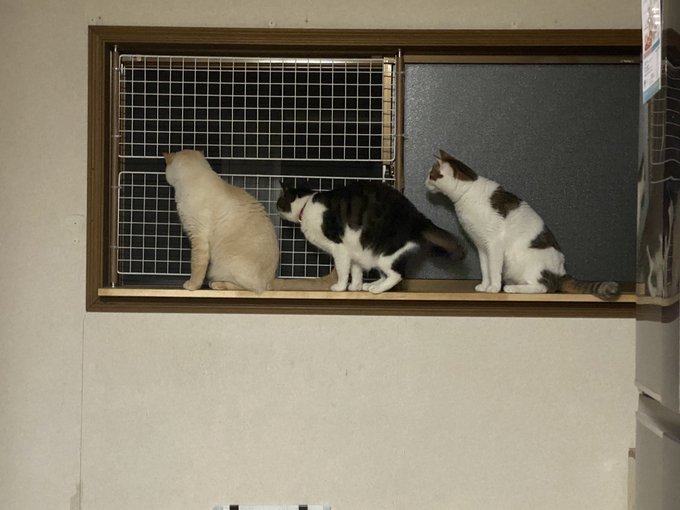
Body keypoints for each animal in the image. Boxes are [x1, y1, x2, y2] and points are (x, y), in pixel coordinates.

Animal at [164, 150, 279, 293]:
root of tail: (270, 282)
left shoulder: (198, 237)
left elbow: (196, 266)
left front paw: (191, 286)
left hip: (228, 267)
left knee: (247, 288)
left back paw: (216, 284)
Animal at [276, 179, 465, 293]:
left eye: (279, 201)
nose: (276, 207)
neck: (306, 206)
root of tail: (418, 217)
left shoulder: (340, 249)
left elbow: (343, 271)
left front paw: (340, 287)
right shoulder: (354, 251)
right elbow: (356, 271)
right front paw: (355, 287)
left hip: (387, 254)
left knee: (397, 275)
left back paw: (377, 289)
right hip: (373, 254)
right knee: (385, 275)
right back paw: (371, 285)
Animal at [425, 149, 620, 300]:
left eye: (430, 175)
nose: (424, 182)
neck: (468, 192)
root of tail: (561, 272)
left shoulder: (494, 244)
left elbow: (494, 269)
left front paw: (493, 288)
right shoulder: (481, 246)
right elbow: (485, 269)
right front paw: (485, 286)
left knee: (544, 288)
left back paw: (511, 288)